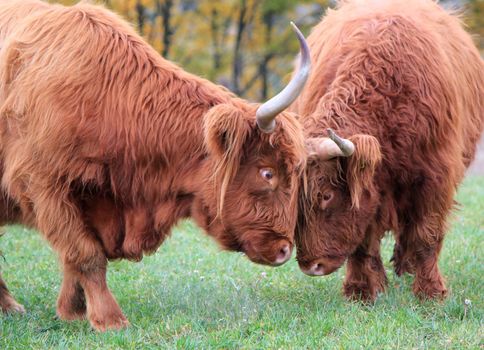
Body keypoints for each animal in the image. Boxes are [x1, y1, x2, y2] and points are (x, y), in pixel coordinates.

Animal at [0, 0, 310, 330]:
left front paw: (73, 310)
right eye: (267, 173)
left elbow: (77, 255)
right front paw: (109, 319)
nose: (284, 250)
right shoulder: (43, 185)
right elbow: (85, 253)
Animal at [294, 0, 482, 300]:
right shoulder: (372, 185)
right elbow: (363, 239)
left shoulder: (434, 176)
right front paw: (361, 290)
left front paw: (431, 292)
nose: (311, 266)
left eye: (326, 195)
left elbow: (426, 234)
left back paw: (407, 266)